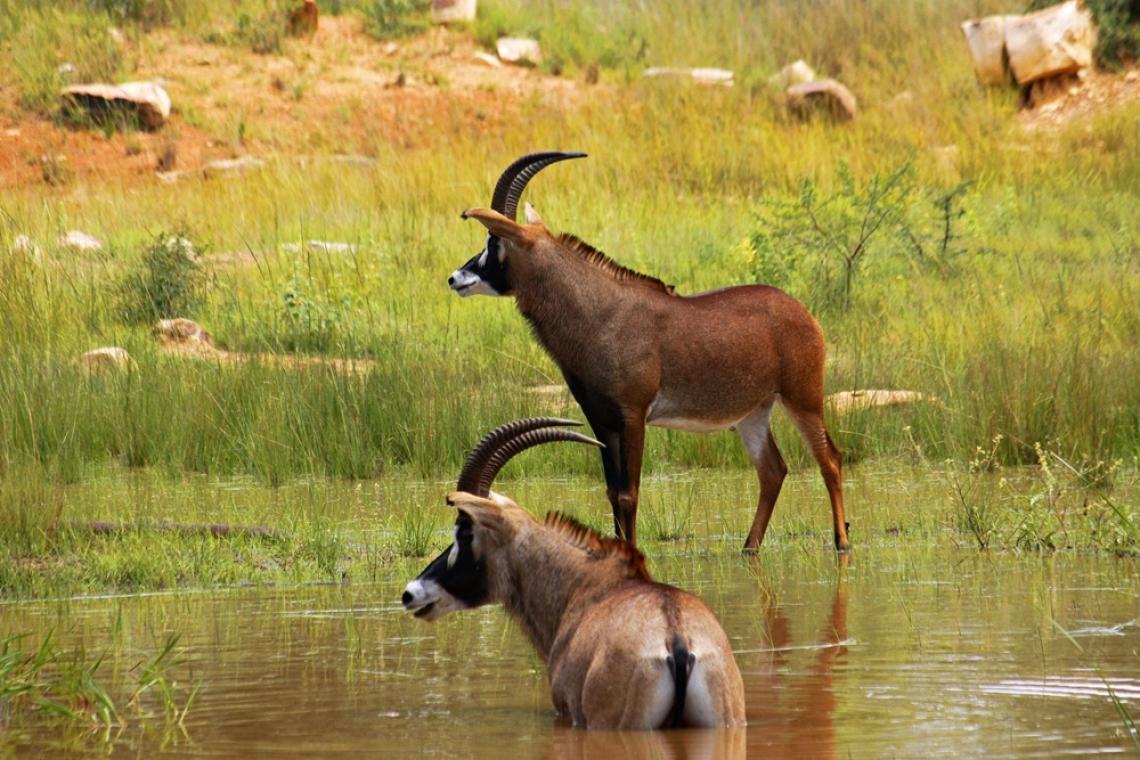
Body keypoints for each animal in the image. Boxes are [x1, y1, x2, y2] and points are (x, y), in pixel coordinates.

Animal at [448, 152, 849, 551]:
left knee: (829, 457)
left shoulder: (633, 416)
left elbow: (629, 493)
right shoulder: (601, 421)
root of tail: (802, 312)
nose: (455, 278)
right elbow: (612, 493)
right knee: (773, 470)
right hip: (753, 413)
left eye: (494, 241)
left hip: (802, 399)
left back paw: (841, 541)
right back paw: (749, 547)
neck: (600, 312)